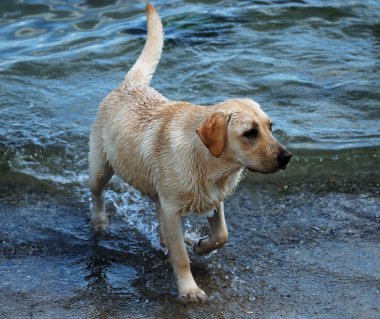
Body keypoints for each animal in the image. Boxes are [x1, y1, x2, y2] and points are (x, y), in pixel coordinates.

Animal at [88, 1, 290, 304]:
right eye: (250, 133)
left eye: (270, 127)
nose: (287, 157)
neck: (210, 163)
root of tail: (131, 84)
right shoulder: (174, 208)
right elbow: (182, 258)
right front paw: (189, 289)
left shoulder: (214, 199)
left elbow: (222, 234)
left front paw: (202, 245)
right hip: (100, 167)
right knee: (98, 193)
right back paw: (100, 221)